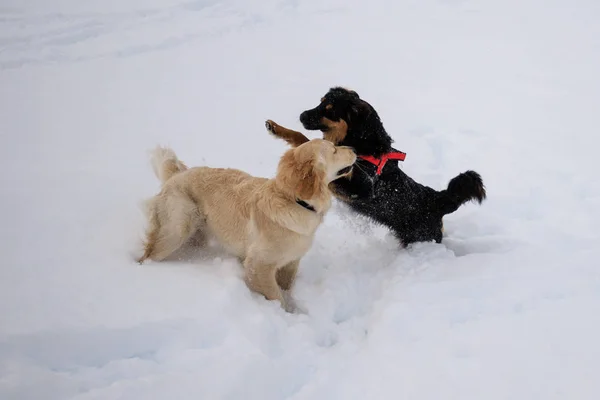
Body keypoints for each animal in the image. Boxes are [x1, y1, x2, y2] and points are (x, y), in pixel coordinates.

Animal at [137, 120, 356, 310]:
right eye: (334, 150)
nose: (354, 149)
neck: (293, 200)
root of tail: (176, 175)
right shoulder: (258, 265)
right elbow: (276, 296)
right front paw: (286, 314)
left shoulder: (291, 262)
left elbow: (286, 287)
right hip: (178, 228)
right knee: (148, 254)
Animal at [266, 86, 482, 244]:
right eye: (320, 102)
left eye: (330, 111)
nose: (302, 115)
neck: (363, 147)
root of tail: (438, 200)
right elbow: (302, 139)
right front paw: (276, 128)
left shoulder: (360, 189)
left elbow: (327, 176)